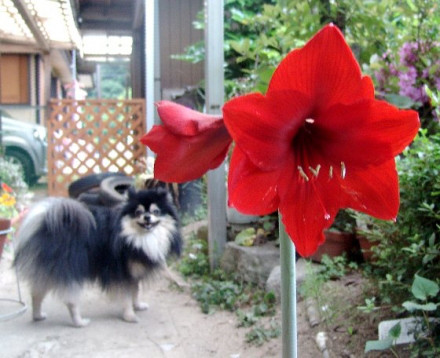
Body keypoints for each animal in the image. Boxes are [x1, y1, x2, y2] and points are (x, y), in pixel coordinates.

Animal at [13, 187, 182, 328]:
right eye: (138, 213)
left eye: (156, 211)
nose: (147, 217)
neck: (137, 237)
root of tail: (49, 225)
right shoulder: (121, 273)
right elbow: (127, 296)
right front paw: (130, 316)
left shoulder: (133, 272)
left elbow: (136, 291)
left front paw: (138, 306)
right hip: (70, 271)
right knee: (70, 300)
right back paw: (79, 322)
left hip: (50, 270)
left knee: (36, 293)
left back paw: (37, 316)